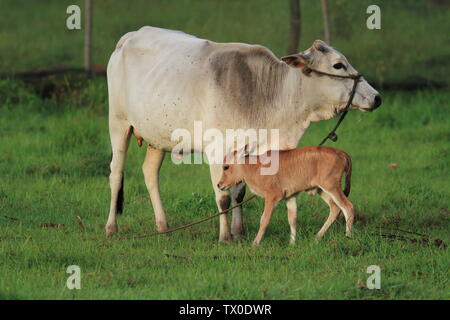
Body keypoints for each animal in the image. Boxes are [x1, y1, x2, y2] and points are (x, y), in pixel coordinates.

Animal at [218, 146, 356, 246]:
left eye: (226, 167)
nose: (219, 185)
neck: (255, 167)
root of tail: (340, 152)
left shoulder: (272, 197)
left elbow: (264, 220)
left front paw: (255, 243)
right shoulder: (290, 197)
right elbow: (292, 219)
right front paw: (292, 243)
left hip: (332, 187)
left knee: (348, 207)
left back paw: (348, 237)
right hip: (322, 190)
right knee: (335, 208)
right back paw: (317, 237)